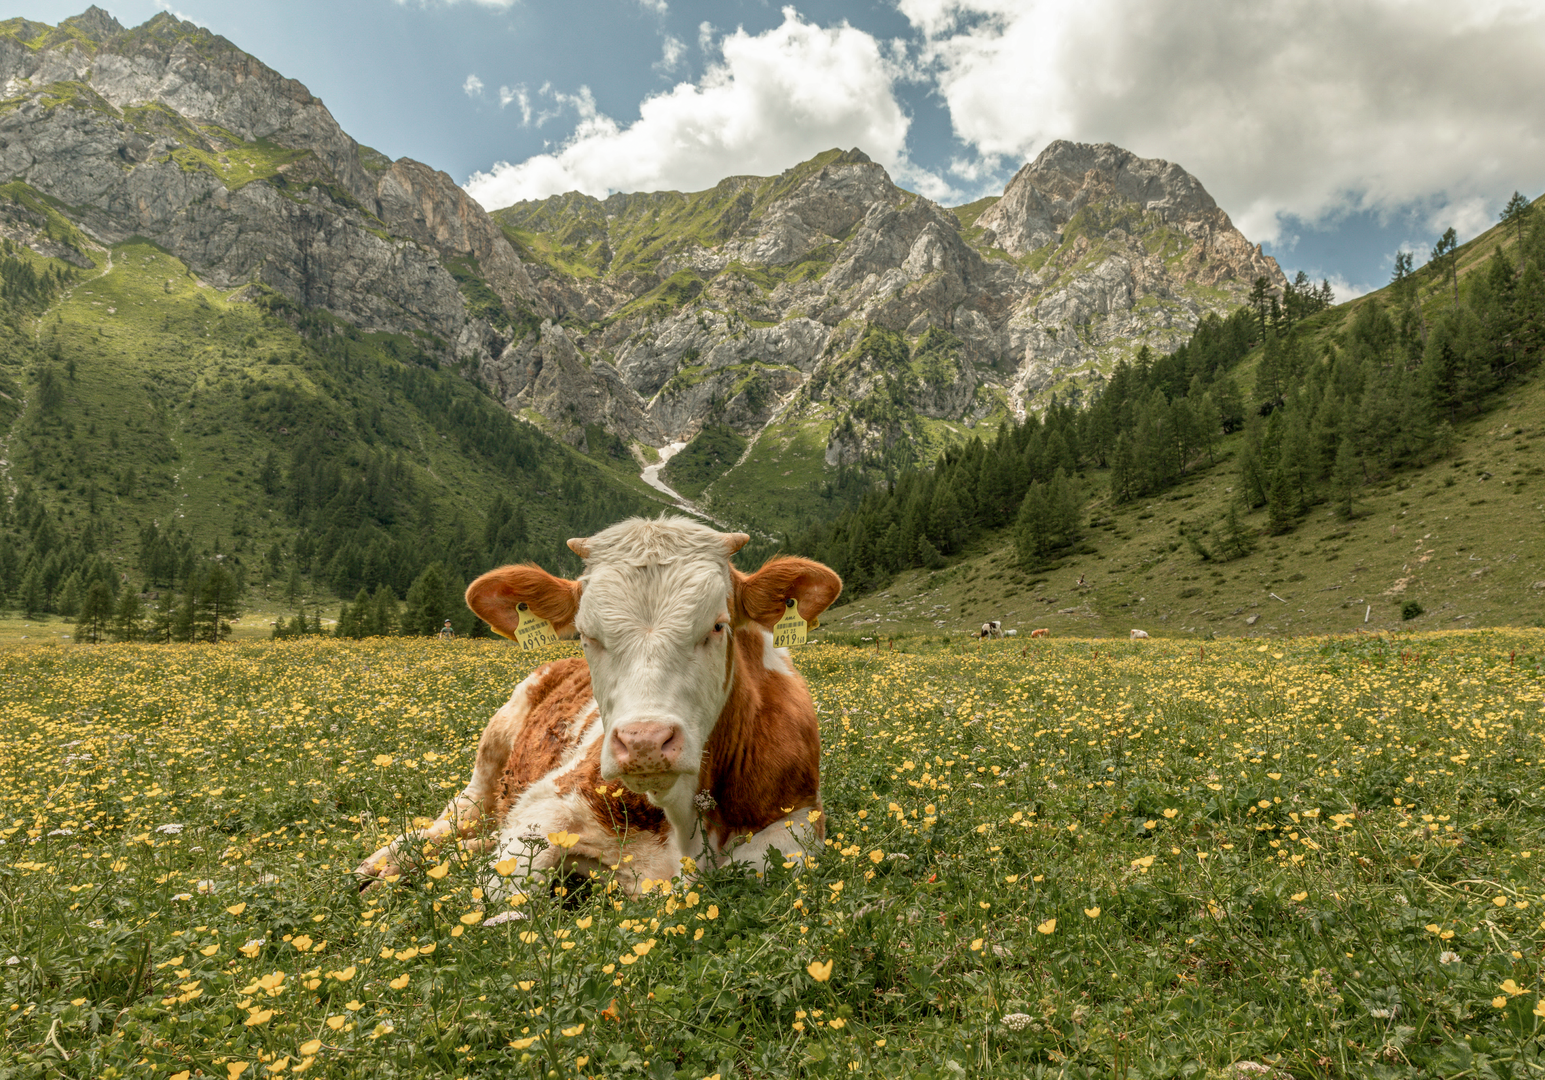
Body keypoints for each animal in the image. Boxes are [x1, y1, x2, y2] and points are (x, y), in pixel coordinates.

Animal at [355, 516, 843, 898]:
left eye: (718, 626)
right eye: (587, 635)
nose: (645, 742)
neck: (683, 821)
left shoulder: (802, 817)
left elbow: (763, 865)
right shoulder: (545, 804)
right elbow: (505, 890)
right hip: (492, 750)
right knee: (459, 813)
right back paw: (386, 862)